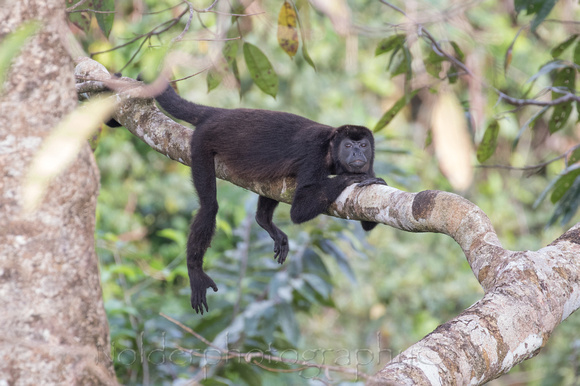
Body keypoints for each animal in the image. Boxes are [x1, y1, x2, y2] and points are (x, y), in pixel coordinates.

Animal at [156, 84, 388, 314]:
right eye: (348, 145)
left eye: (363, 145)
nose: (357, 152)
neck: (331, 150)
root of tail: (220, 114)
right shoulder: (314, 152)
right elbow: (299, 209)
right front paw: (349, 177)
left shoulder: (369, 165)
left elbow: (368, 219)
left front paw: (376, 182)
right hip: (201, 142)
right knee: (209, 207)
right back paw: (195, 270)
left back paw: (263, 220)